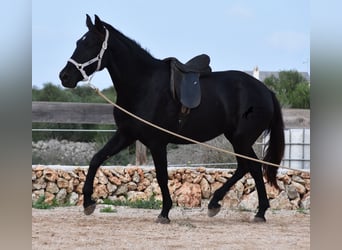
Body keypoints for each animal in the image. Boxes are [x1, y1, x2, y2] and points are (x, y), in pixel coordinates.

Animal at [60, 15, 284, 223]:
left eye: (90, 44)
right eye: (78, 43)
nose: (64, 76)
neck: (144, 85)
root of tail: (266, 91)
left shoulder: (157, 142)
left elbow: (161, 176)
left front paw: (164, 212)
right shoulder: (126, 135)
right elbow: (96, 159)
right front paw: (88, 203)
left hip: (241, 139)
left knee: (252, 167)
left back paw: (255, 211)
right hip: (238, 139)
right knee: (248, 167)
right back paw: (221, 204)